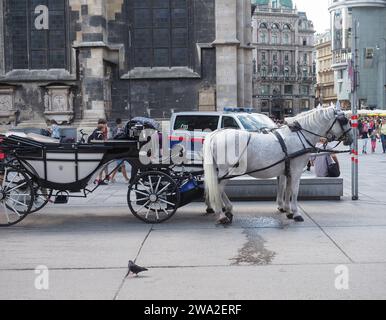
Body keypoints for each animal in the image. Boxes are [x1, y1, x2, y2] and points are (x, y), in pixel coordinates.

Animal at [205, 106, 352, 224]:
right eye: (345, 120)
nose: (350, 138)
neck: (299, 135)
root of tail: (216, 135)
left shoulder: (288, 171)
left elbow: (287, 190)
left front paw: (288, 210)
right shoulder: (296, 171)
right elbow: (295, 191)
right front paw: (296, 213)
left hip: (223, 172)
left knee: (216, 188)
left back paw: (227, 209)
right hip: (227, 170)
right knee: (217, 189)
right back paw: (221, 214)